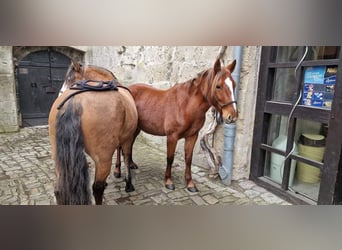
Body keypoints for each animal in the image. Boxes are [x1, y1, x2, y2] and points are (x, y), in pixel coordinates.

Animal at [47, 61, 138, 204]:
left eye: (70, 79)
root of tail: (75, 100)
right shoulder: (128, 139)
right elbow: (127, 157)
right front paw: (128, 183)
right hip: (104, 158)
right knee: (97, 188)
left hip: (58, 158)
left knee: (58, 190)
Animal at [115, 58, 238, 191]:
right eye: (218, 86)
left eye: (234, 85)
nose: (232, 116)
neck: (185, 105)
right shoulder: (172, 137)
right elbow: (170, 158)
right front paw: (168, 181)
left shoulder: (192, 136)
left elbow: (188, 158)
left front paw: (190, 183)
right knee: (119, 147)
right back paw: (117, 171)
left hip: (136, 128)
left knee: (130, 145)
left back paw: (131, 164)